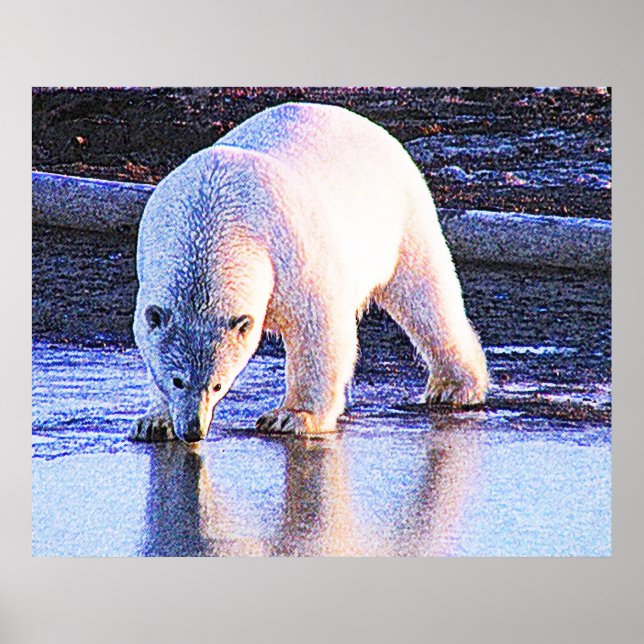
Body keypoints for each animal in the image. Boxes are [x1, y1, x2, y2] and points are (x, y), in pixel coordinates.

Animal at [131, 102, 488, 443]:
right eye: (177, 380)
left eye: (218, 384)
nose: (194, 430)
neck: (215, 215)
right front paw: (154, 422)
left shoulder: (290, 254)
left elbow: (317, 328)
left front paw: (292, 417)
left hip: (402, 220)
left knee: (427, 297)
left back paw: (456, 386)